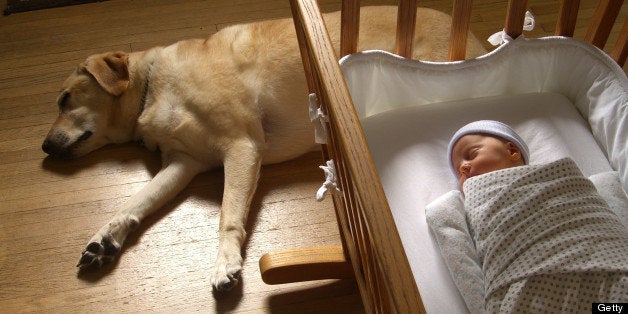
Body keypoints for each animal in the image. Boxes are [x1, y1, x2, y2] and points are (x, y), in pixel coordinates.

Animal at [41, 5, 488, 292]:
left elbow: (228, 216)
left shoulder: (241, 145)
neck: (152, 86)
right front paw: (105, 238)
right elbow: (134, 203)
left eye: (64, 99)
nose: (44, 146)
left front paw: (225, 264)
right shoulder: (184, 163)